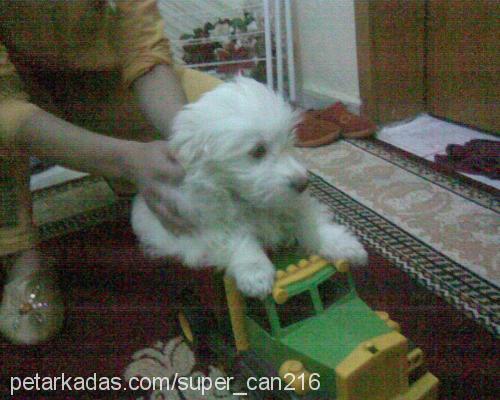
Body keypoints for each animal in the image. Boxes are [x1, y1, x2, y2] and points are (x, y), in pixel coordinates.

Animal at [132, 77, 368, 296]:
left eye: (289, 143)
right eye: (258, 151)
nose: (303, 183)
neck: (252, 201)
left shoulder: (295, 203)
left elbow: (311, 220)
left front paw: (342, 244)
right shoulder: (215, 223)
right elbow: (240, 240)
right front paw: (256, 273)